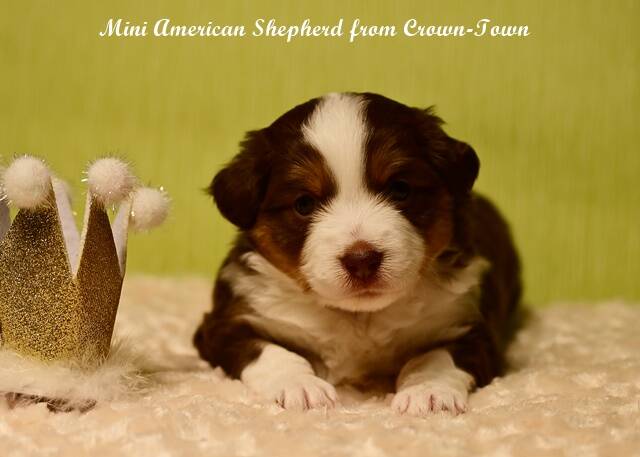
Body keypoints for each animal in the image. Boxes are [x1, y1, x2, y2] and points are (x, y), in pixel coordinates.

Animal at [194, 92, 521, 416]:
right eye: (304, 204)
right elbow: (270, 352)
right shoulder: (227, 322)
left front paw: (428, 391)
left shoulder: (471, 324)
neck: (358, 317)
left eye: (400, 189)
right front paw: (302, 387)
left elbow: (435, 357)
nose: (362, 259)